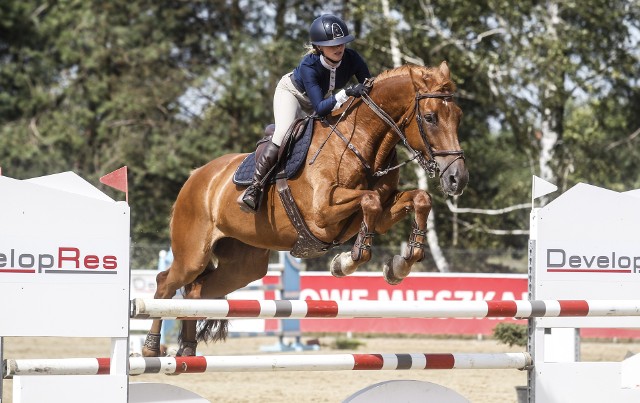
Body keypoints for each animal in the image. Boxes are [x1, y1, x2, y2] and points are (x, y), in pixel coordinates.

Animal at [141, 61, 470, 358]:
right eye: (430, 117)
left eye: (458, 116)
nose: (457, 179)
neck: (362, 143)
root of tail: (196, 176)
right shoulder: (322, 212)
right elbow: (369, 202)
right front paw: (347, 261)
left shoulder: (379, 210)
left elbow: (418, 199)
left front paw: (401, 263)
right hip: (193, 254)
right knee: (166, 284)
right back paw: (151, 348)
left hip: (243, 266)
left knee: (196, 292)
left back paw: (186, 349)